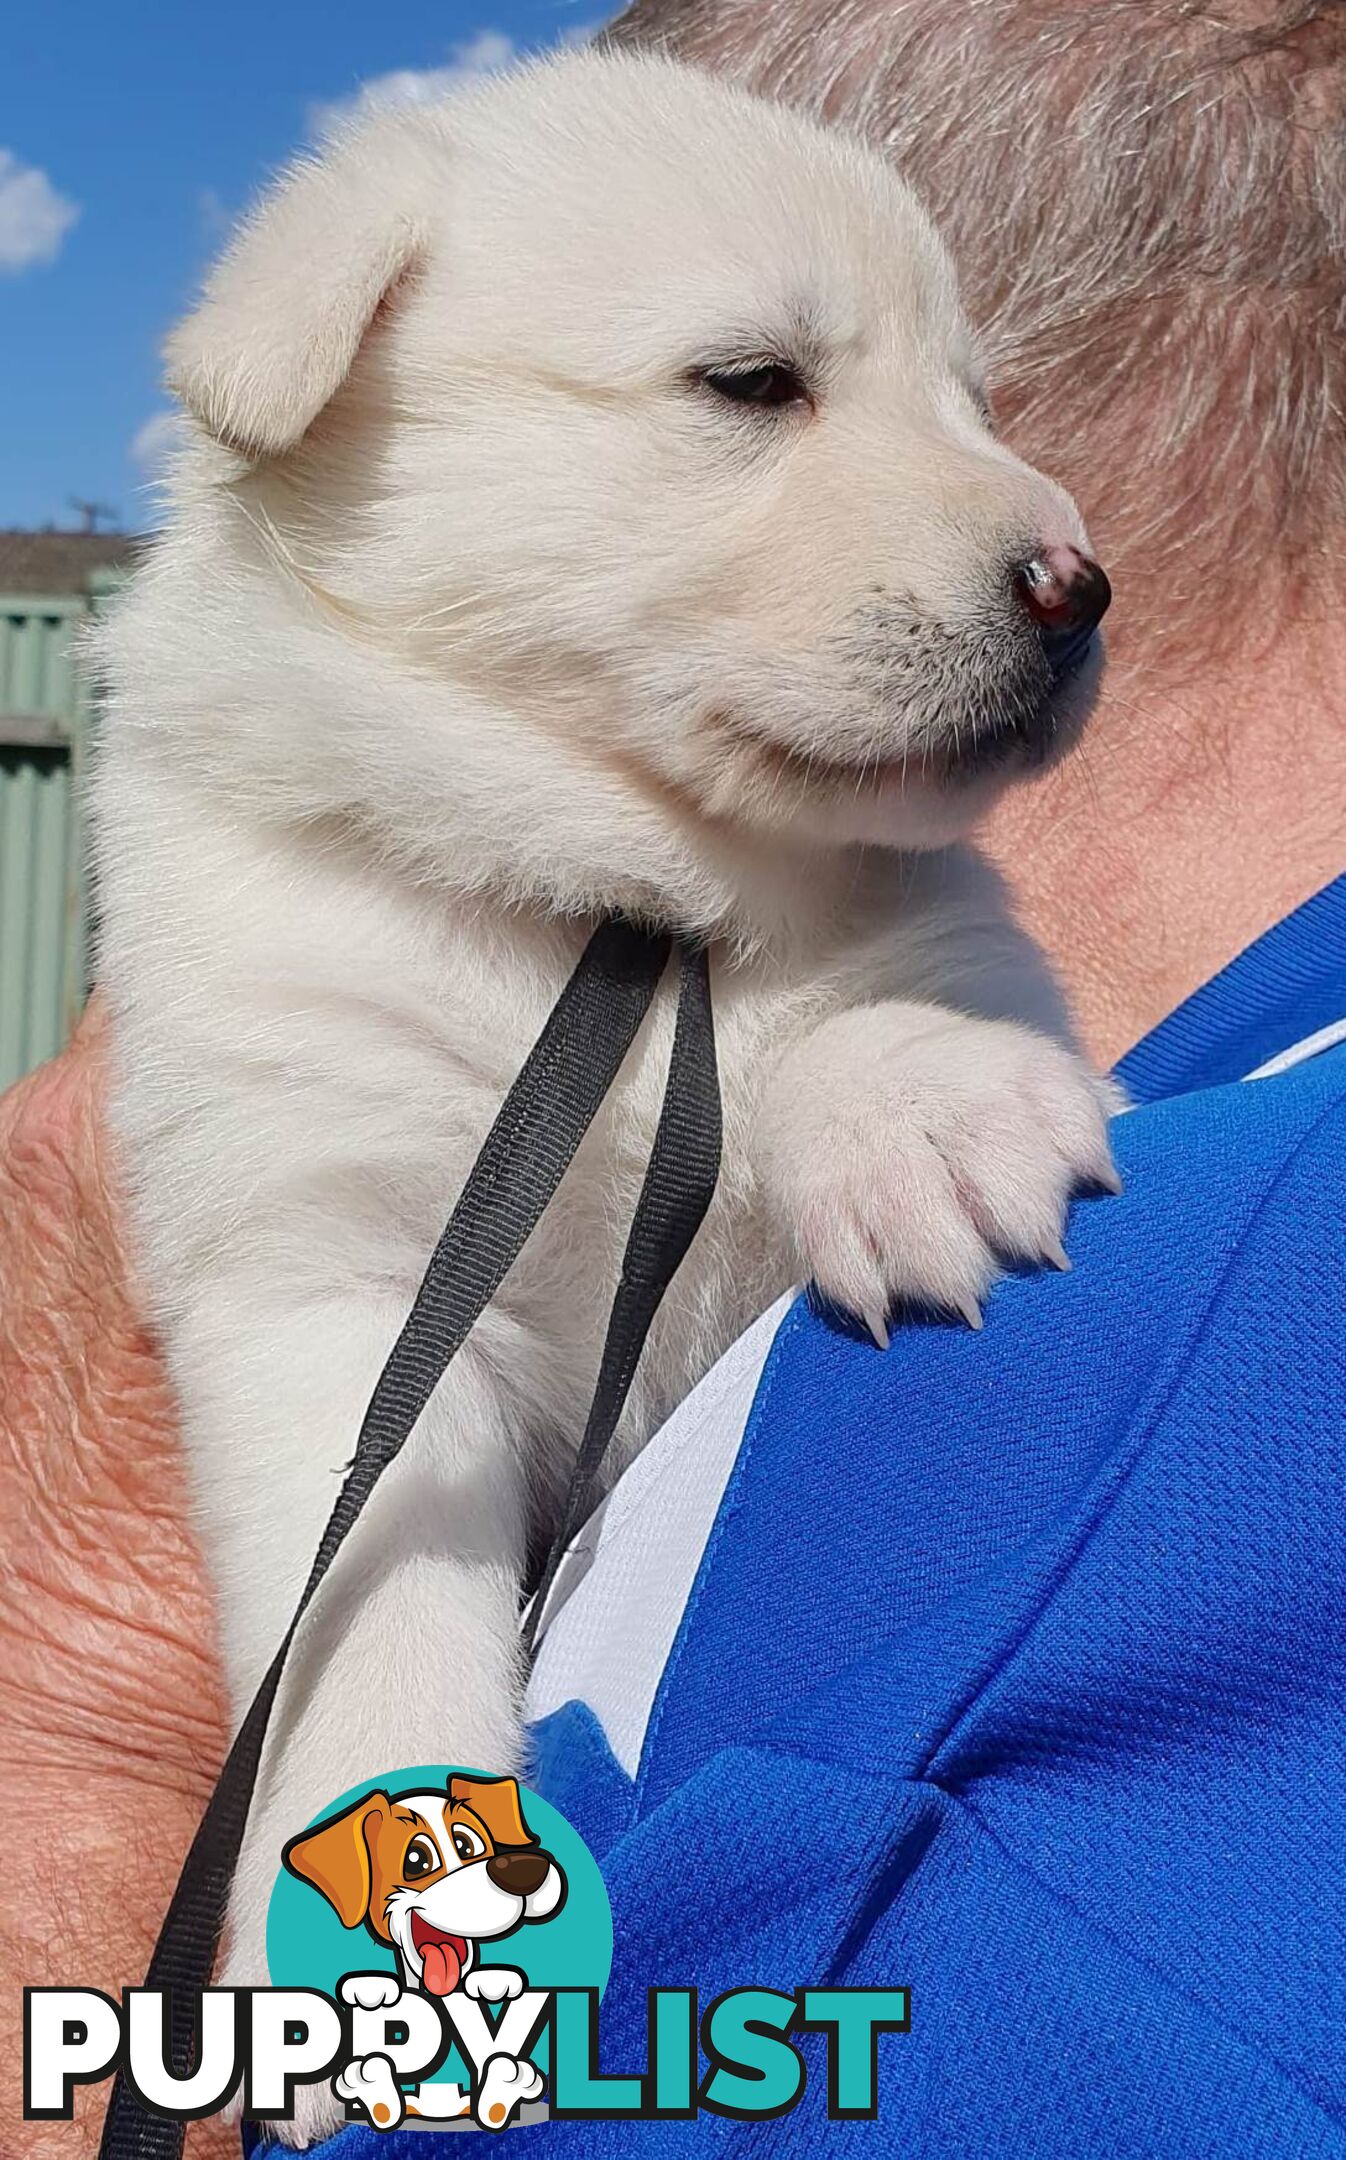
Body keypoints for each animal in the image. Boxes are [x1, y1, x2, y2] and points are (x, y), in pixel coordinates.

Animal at [92, 46, 1114, 2142]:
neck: (606, 911)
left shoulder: (898, 923)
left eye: (977, 402)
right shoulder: (321, 1270)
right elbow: (367, 1630)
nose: (1082, 585)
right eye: (749, 383)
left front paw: (931, 1117)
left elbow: (894, 972)